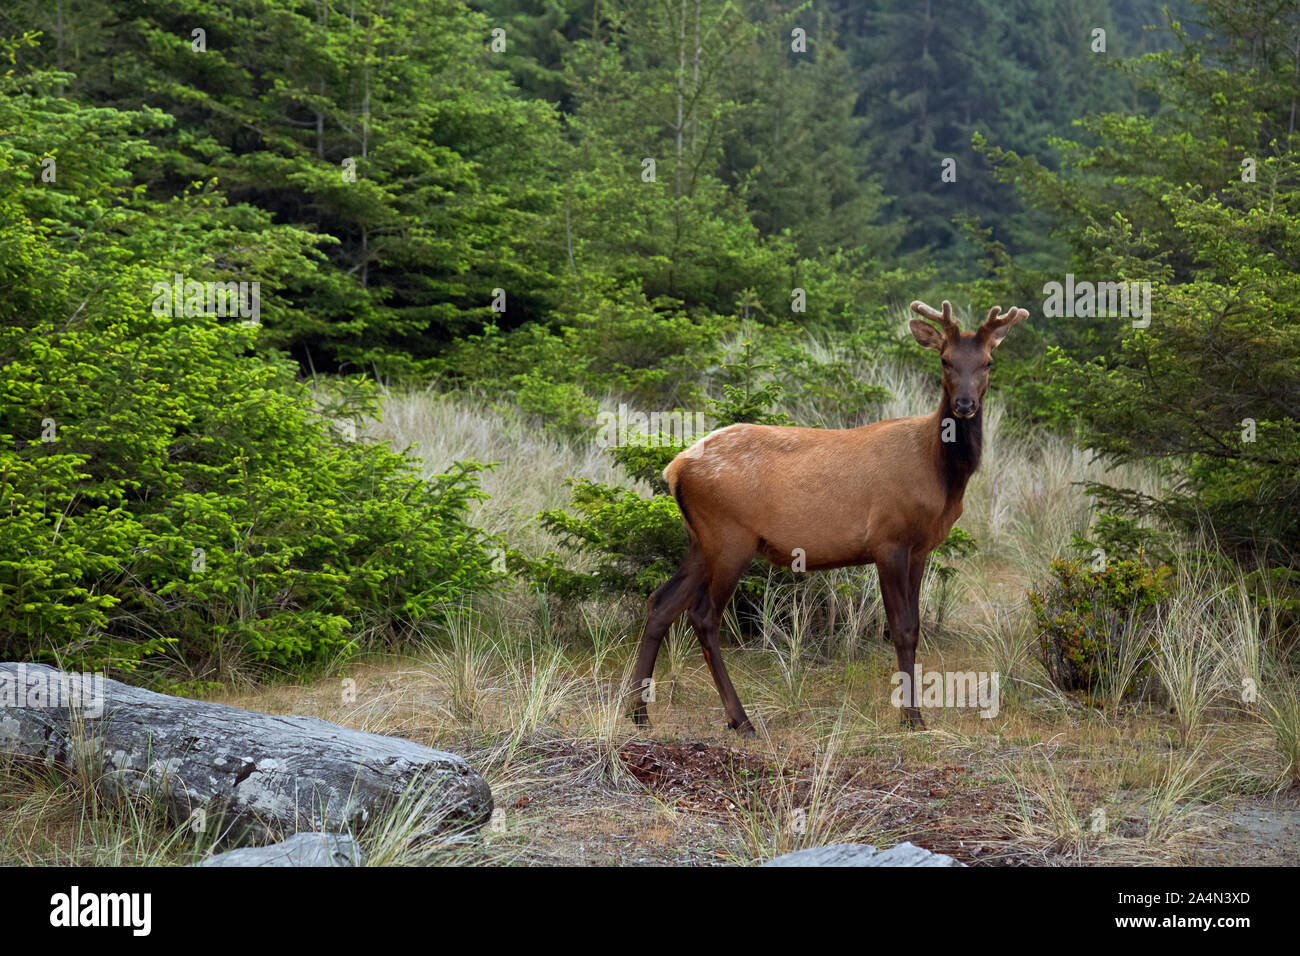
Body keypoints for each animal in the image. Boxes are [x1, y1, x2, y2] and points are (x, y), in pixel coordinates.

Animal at [624, 299, 1029, 733]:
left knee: (661, 603)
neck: (940, 474)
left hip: (702, 541)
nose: (965, 405)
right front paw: (912, 717)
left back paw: (639, 712)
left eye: (988, 362)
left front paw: (914, 712)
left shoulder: (920, 548)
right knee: (702, 616)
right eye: (945, 359)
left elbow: (917, 626)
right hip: (730, 536)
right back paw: (740, 719)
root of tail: (675, 468)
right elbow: (901, 629)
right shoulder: (888, 539)